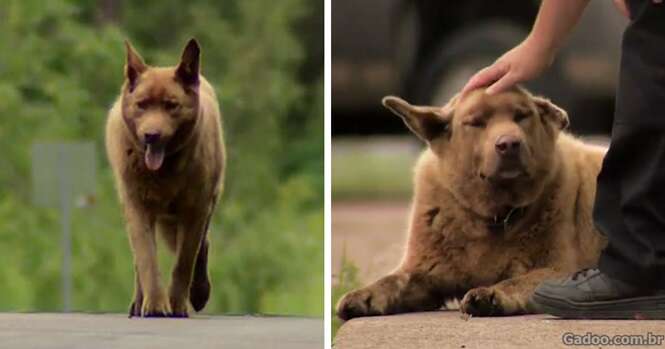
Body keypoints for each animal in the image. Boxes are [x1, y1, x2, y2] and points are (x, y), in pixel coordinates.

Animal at [105, 39, 224, 316]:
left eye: (171, 105)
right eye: (142, 104)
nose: (151, 135)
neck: (165, 173)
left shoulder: (196, 210)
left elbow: (184, 262)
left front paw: (178, 303)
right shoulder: (137, 207)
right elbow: (147, 259)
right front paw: (156, 305)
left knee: (203, 246)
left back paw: (198, 292)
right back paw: (139, 303)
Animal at [338, 85, 608, 318]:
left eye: (522, 116)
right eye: (476, 122)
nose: (509, 144)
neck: (495, 216)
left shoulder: (560, 269)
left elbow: (517, 281)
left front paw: (492, 294)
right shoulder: (423, 272)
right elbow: (392, 280)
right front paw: (364, 295)